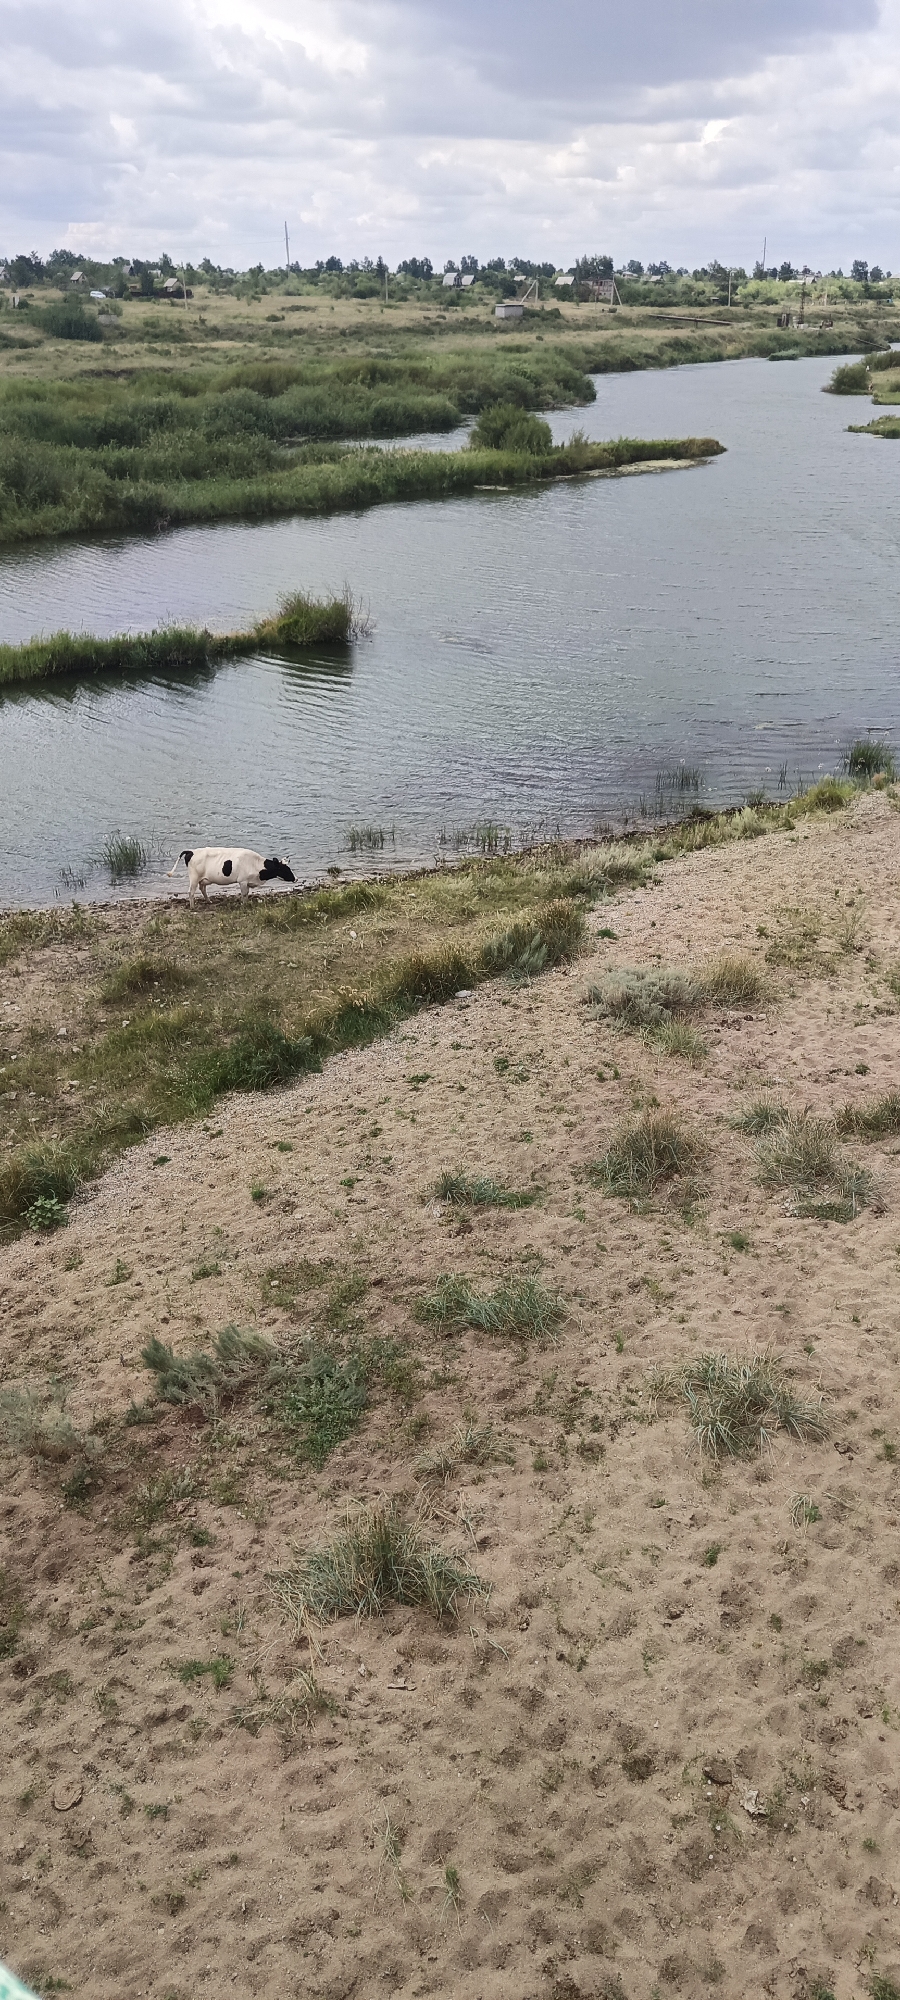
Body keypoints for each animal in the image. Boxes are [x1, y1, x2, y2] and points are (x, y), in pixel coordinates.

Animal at [167, 847, 296, 908]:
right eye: (285, 869)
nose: (296, 878)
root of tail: (191, 851)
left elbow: (246, 894)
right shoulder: (242, 881)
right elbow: (244, 894)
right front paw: (244, 905)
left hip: (203, 879)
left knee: (202, 888)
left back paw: (208, 901)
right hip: (194, 877)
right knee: (191, 892)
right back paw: (192, 907)